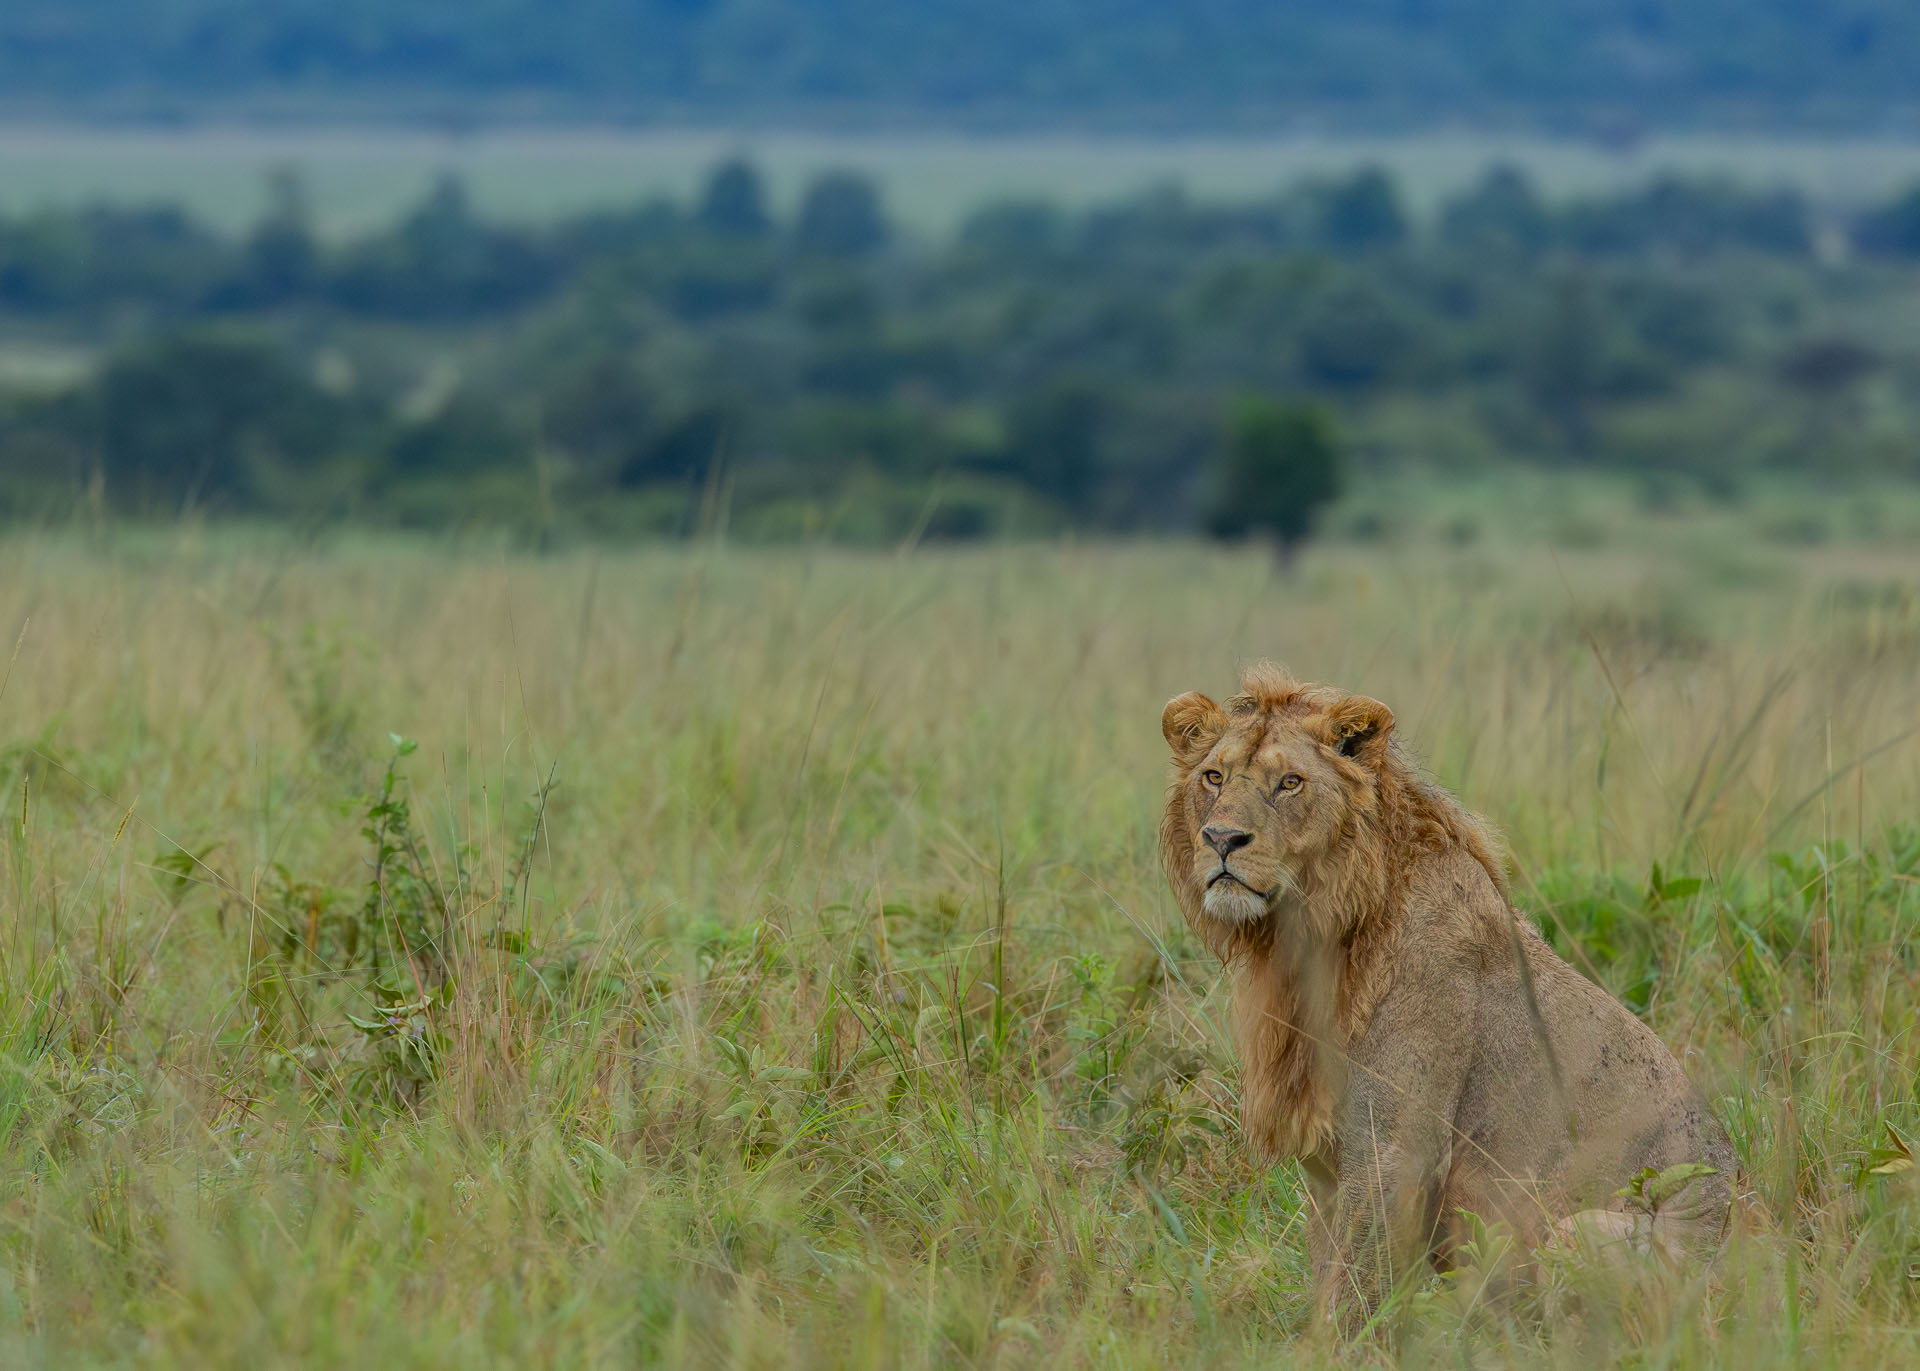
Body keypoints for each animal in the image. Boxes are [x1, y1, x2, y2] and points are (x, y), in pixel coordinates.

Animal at [1159, 660, 1735, 1321]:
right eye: (1214, 776)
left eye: (1290, 783)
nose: (1221, 838)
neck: (1311, 938)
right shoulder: (1330, 1173)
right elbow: (1328, 1275)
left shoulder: (1397, 1152)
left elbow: (1351, 1295)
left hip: (1586, 1234)